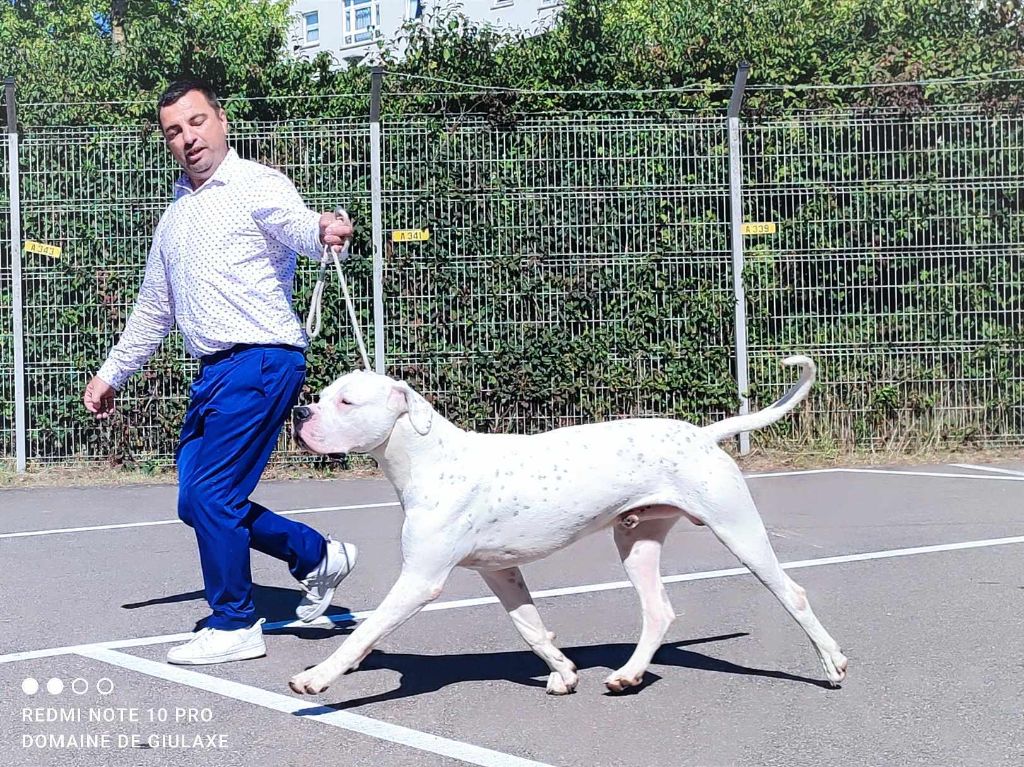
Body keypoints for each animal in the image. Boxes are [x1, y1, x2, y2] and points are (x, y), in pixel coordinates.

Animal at [288, 355, 847, 696]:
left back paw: (832, 664)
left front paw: (318, 677)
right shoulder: (500, 572)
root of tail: (702, 435)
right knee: (658, 612)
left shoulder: (421, 580)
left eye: (346, 401)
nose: (300, 412)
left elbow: (367, 629)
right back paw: (627, 675)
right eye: (323, 393)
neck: (431, 458)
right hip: (636, 542)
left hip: (738, 531)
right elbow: (531, 628)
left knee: (792, 594)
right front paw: (562, 671)